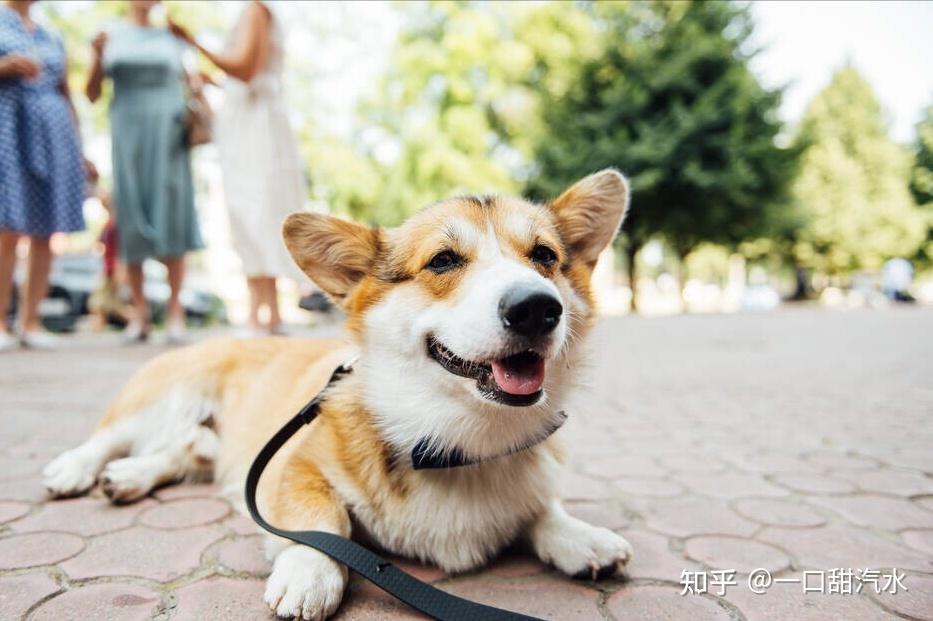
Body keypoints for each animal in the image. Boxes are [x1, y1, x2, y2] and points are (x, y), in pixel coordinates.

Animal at [40, 170, 628, 620]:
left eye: (545, 256)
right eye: (442, 260)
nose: (537, 307)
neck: (454, 441)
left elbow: (542, 509)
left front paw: (581, 537)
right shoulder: (295, 465)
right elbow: (325, 520)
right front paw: (310, 573)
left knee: (182, 452)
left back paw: (128, 478)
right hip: (168, 397)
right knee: (112, 437)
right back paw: (76, 469)